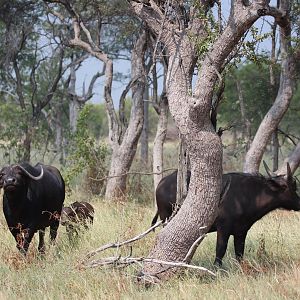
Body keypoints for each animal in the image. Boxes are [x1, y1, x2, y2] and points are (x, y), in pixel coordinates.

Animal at [151, 165, 300, 266]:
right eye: (291, 187)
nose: (299, 203)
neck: (248, 196)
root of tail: (161, 183)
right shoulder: (223, 228)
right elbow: (220, 250)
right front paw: (216, 268)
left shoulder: (241, 231)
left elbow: (239, 252)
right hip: (166, 218)